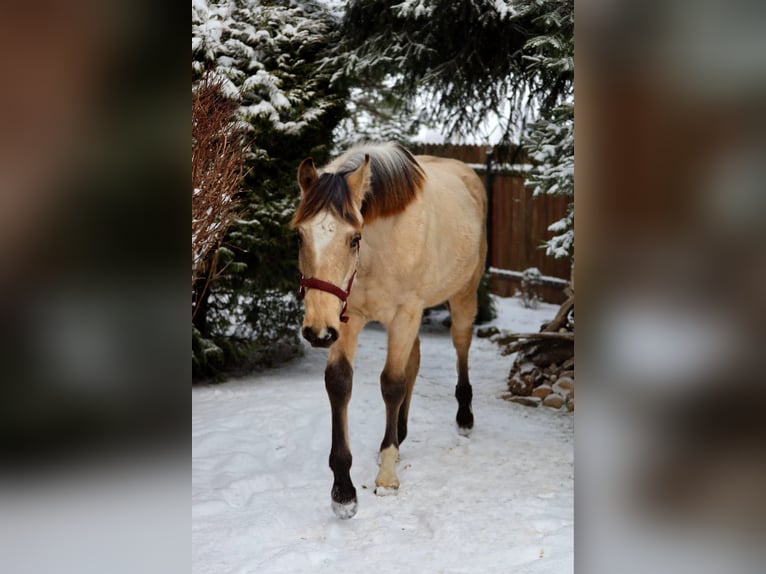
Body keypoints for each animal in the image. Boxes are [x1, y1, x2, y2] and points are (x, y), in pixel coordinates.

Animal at [291, 142, 487, 519]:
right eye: (299, 236)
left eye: (354, 239)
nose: (317, 333)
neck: (377, 250)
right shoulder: (347, 317)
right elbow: (340, 383)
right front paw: (343, 491)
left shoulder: (404, 313)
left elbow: (392, 384)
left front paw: (386, 474)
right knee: (415, 359)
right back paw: (401, 431)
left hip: (463, 294)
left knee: (461, 343)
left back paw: (464, 417)